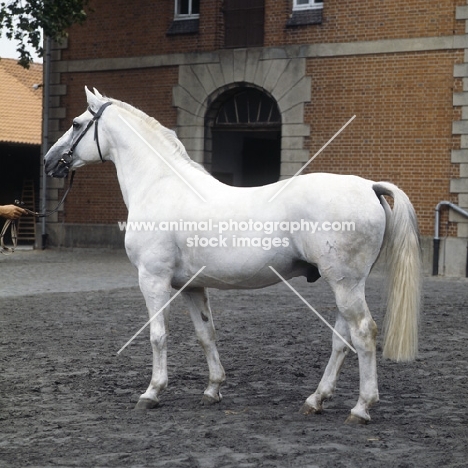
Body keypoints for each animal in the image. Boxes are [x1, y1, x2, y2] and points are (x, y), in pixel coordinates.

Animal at [45, 88, 422, 424]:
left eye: (77, 124)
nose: (49, 161)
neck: (160, 185)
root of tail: (369, 186)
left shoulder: (152, 279)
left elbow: (157, 336)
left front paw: (151, 393)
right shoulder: (191, 286)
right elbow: (205, 334)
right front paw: (213, 389)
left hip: (345, 284)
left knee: (364, 333)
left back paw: (361, 408)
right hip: (346, 283)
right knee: (342, 339)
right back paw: (316, 400)